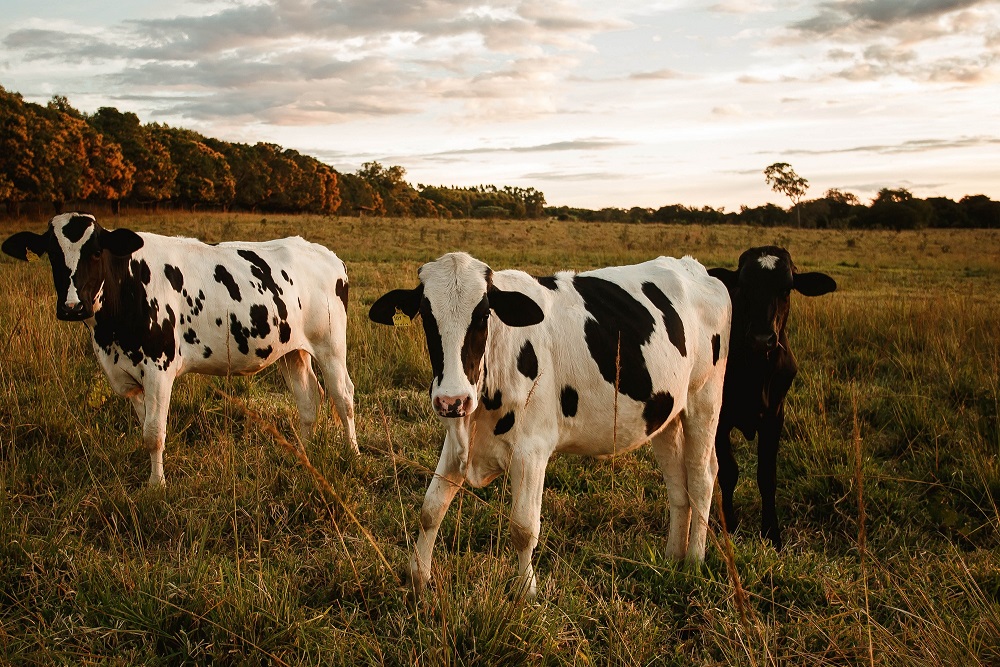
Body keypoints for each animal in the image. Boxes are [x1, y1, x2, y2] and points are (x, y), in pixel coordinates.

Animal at [0, 213, 356, 486]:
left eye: (96, 252)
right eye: (51, 253)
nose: (72, 306)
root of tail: (325, 253)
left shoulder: (158, 368)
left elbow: (154, 432)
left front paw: (157, 486)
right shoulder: (127, 375)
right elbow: (145, 428)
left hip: (330, 345)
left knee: (343, 396)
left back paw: (352, 453)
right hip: (292, 350)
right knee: (309, 399)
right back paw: (304, 456)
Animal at [372, 253, 732, 596]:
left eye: (484, 315)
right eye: (426, 315)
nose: (451, 400)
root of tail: (695, 268)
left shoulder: (531, 450)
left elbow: (523, 527)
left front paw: (526, 591)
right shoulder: (458, 442)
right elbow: (430, 508)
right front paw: (418, 578)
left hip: (704, 398)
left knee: (701, 477)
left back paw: (694, 561)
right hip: (666, 413)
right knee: (677, 483)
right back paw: (672, 557)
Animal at [708, 248, 840, 552]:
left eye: (786, 288)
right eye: (744, 286)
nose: (761, 339)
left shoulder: (775, 416)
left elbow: (767, 476)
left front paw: (772, 533)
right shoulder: (721, 418)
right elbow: (729, 472)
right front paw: (730, 525)